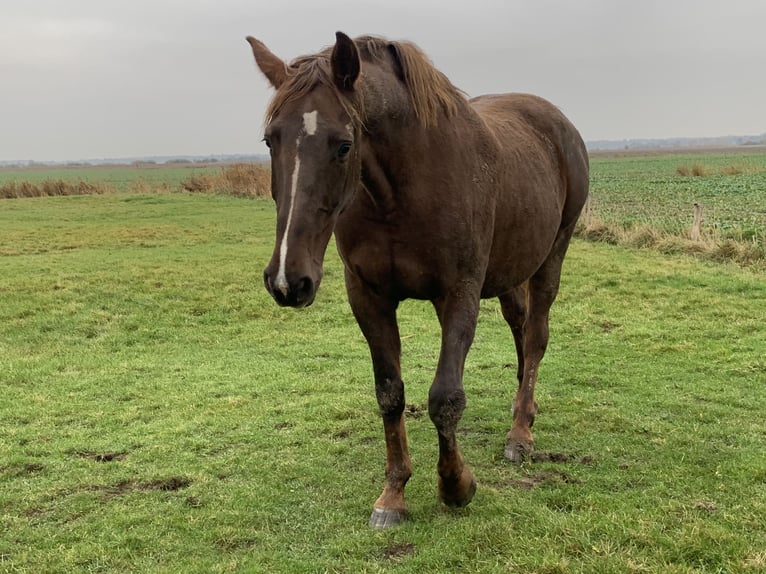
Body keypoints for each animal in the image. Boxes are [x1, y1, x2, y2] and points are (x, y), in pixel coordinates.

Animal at [246, 32, 589, 528]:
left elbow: (445, 397)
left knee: (537, 336)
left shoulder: (459, 294)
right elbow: (390, 393)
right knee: (521, 330)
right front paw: (393, 494)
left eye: (344, 145)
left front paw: (456, 485)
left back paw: (520, 433)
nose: (288, 280)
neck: (403, 189)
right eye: (271, 140)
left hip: (551, 259)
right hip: (509, 274)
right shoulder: (368, 298)